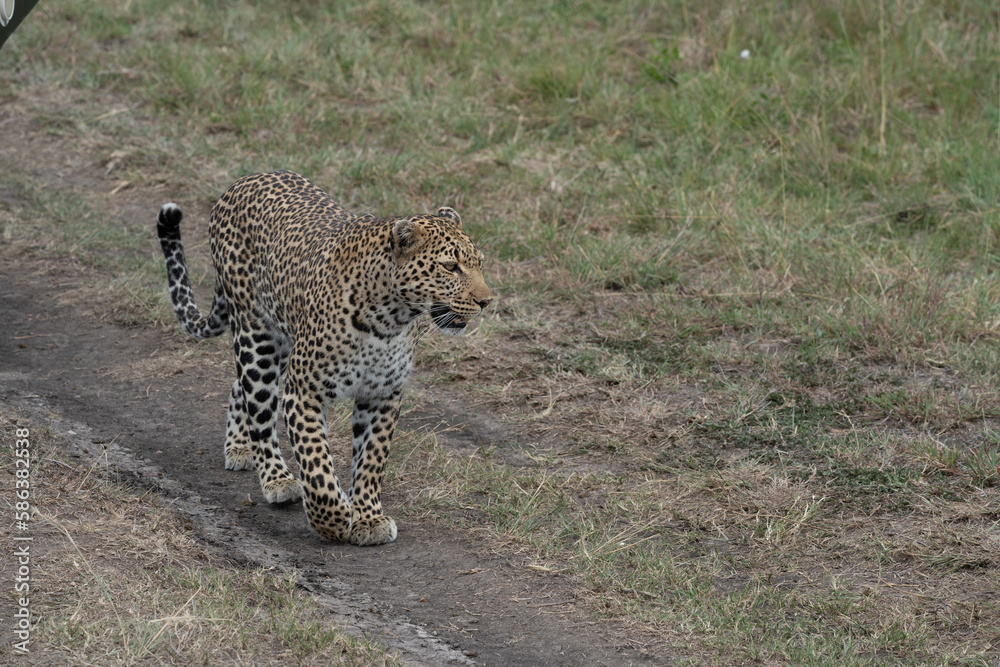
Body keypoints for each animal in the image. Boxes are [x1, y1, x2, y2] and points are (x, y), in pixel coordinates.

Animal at [156, 170, 492, 546]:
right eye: (450, 267)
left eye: (479, 264)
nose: (486, 301)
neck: (391, 319)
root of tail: (245, 179)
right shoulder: (304, 392)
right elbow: (316, 464)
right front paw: (332, 519)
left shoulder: (383, 394)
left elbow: (372, 460)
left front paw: (368, 517)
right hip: (257, 336)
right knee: (259, 405)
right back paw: (275, 476)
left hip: (283, 339)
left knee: (238, 385)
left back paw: (240, 447)